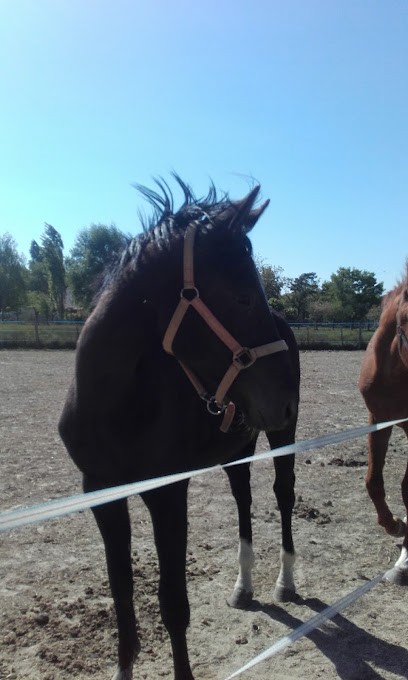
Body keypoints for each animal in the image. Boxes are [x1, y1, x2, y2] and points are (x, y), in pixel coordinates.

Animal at [58, 176, 300, 680]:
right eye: (243, 295)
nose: (284, 400)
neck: (115, 404)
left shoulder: (168, 493)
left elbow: (174, 604)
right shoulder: (100, 492)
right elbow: (122, 592)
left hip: (280, 438)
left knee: (283, 494)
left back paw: (285, 582)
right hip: (238, 446)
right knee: (244, 498)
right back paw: (243, 586)